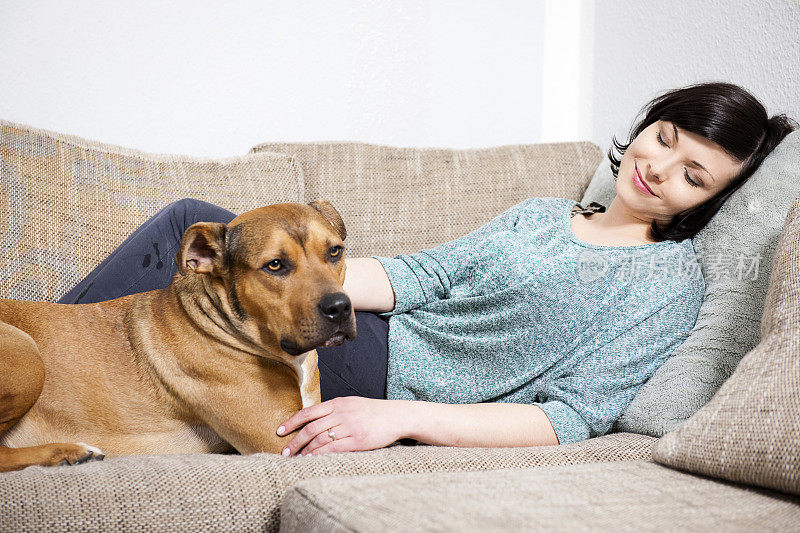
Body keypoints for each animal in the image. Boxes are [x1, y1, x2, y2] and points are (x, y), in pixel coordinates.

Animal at [0, 198, 356, 470]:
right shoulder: (285, 440)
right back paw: (66, 453)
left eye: (335, 251)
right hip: (26, 355)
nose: (340, 307)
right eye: (275, 265)